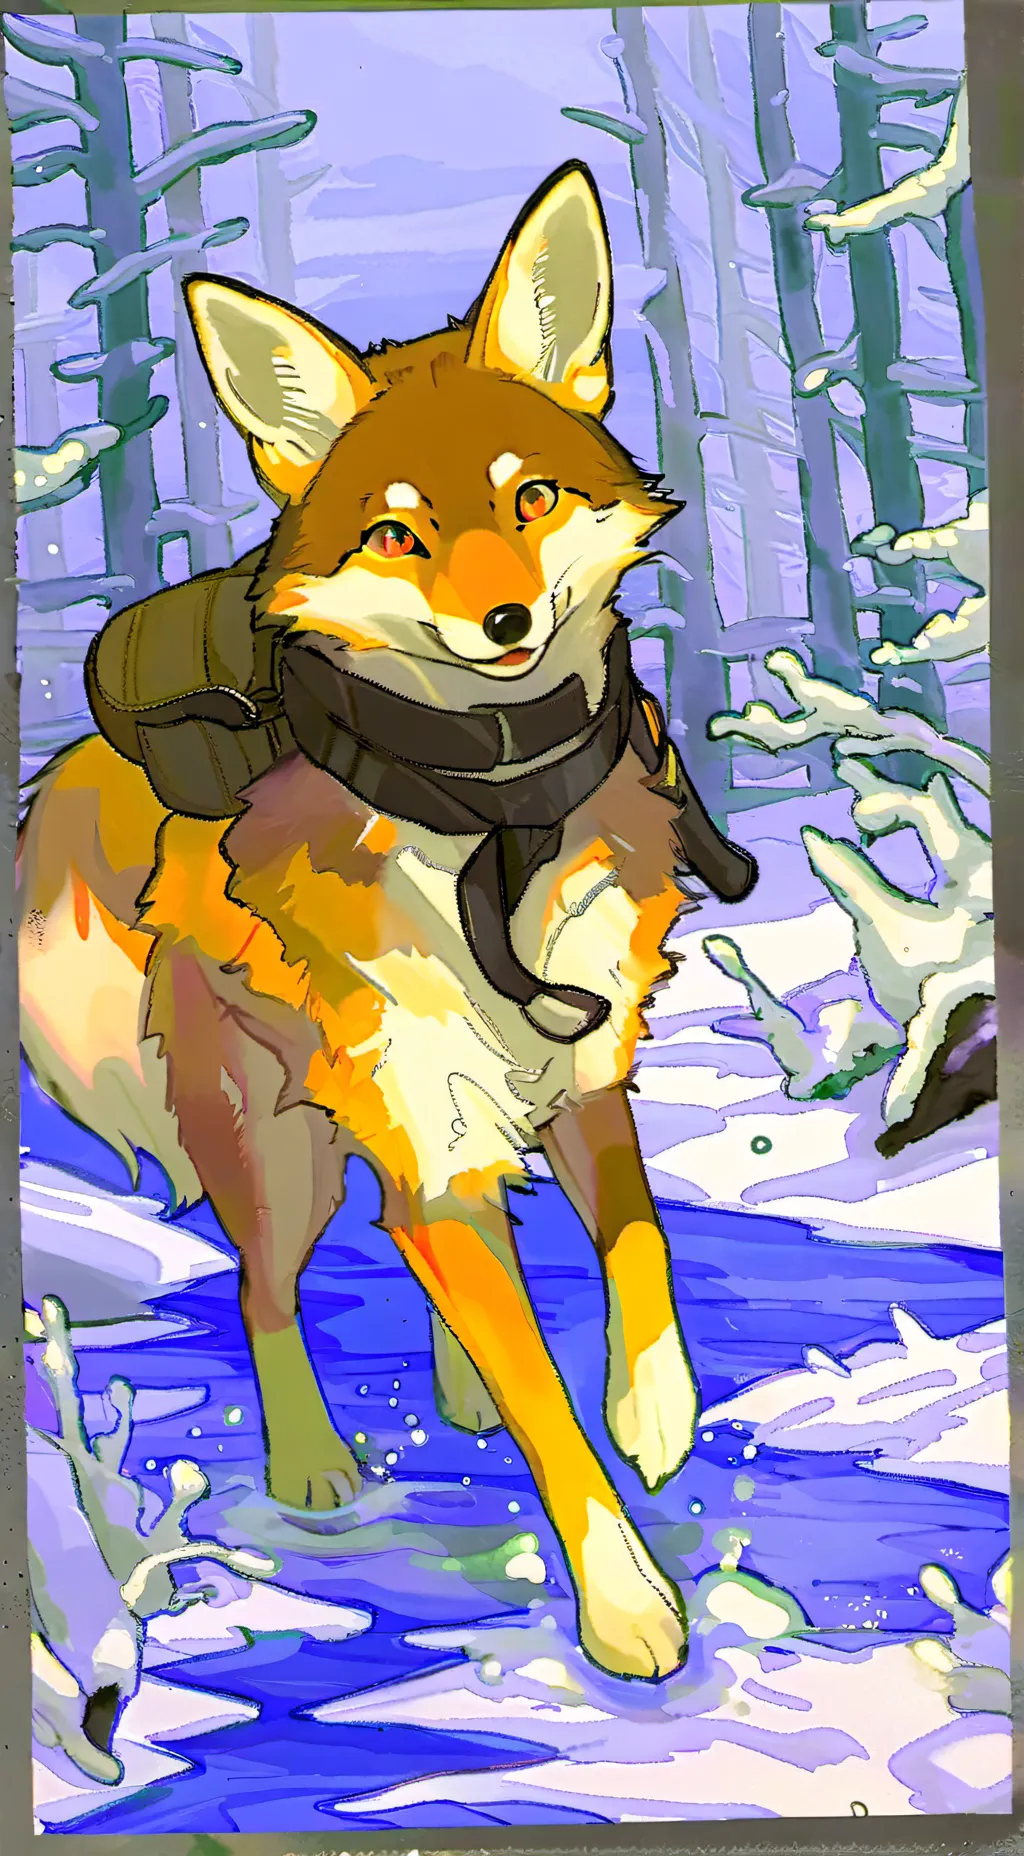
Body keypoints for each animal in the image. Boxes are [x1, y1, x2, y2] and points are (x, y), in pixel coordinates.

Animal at [18, 163, 755, 1681]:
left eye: (531, 496)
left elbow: (637, 1243)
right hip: (283, 1153)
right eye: (398, 535)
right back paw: (312, 1464)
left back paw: (455, 1380)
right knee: (269, 1291)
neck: (491, 814)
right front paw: (628, 1605)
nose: (506, 618)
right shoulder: (432, 1108)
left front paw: (654, 1405)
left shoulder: (583, 1068)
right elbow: (548, 1417)